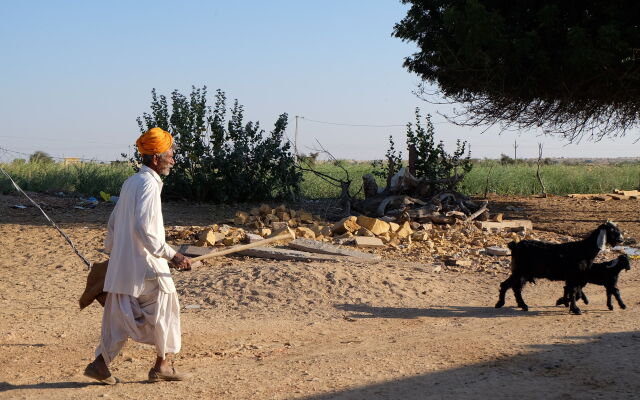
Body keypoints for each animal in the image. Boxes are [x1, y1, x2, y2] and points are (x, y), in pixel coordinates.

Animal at [496, 220, 624, 314]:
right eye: (612, 230)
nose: (621, 240)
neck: (584, 249)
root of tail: (515, 246)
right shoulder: (574, 276)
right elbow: (573, 292)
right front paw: (574, 309)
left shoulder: (576, 278)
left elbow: (574, 292)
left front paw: (565, 303)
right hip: (521, 271)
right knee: (513, 287)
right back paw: (516, 305)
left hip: (521, 272)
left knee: (510, 286)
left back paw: (508, 304)